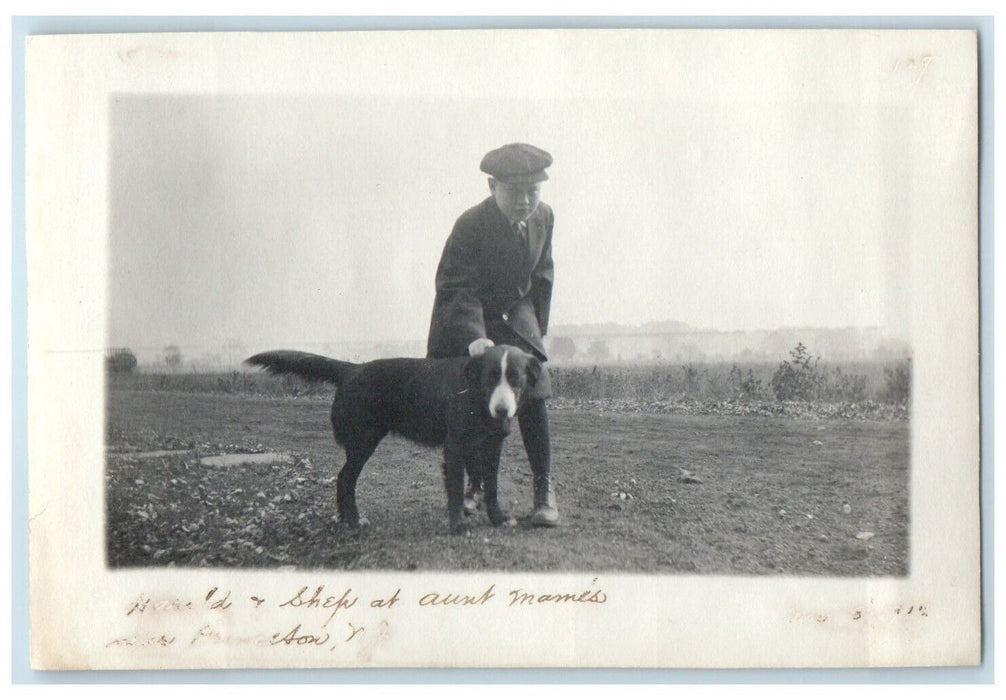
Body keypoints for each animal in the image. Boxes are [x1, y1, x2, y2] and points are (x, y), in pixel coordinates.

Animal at [244, 345, 543, 535]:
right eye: (490, 378)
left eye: (515, 379)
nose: (502, 410)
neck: (476, 396)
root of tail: (352, 370)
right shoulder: (455, 447)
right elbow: (457, 489)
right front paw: (458, 526)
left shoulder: (492, 445)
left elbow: (491, 487)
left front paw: (498, 519)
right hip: (364, 440)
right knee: (345, 479)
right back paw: (353, 521)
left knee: (344, 479)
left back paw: (346, 520)